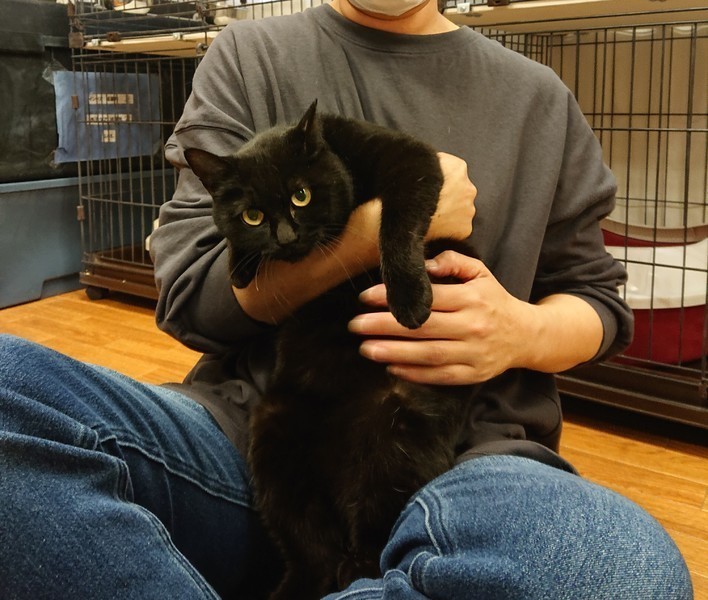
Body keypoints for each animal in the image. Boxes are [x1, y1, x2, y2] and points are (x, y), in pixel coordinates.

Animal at [185, 100, 475, 600]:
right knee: (314, 558)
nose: (285, 236)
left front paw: (410, 299)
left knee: (369, 560)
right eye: (252, 215)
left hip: (394, 443)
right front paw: (239, 267)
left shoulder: (411, 161)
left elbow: (396, 226)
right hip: (276, 441)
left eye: (300, 195)